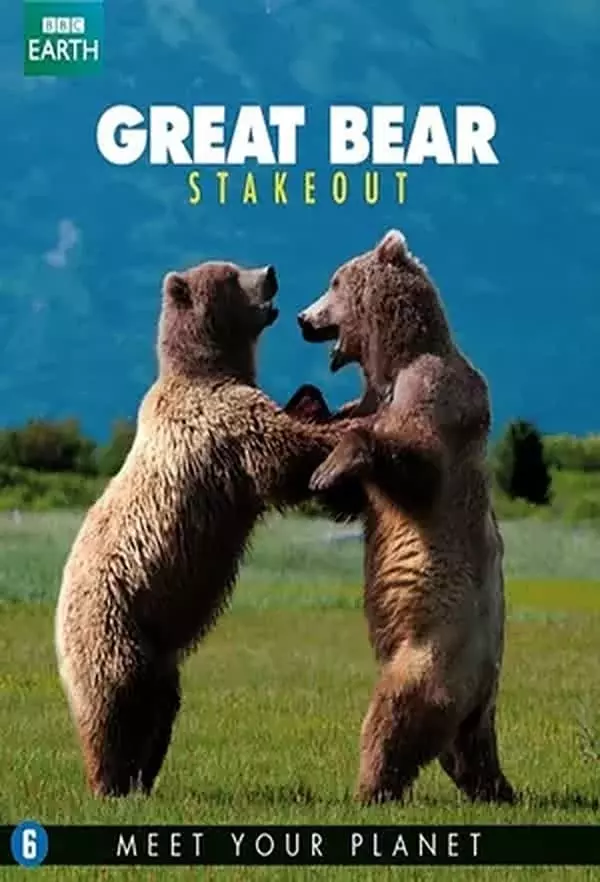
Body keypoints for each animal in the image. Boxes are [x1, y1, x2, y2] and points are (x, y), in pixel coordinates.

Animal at [55, 259, 368, 798]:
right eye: (228, 274)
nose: (271, 270)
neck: (210, 368)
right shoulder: (221, 424)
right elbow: (283, 453)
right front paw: (345, 431)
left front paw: (316, 402)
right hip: (111, 625)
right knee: (116, 703)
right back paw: (111, 780)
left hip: (157, 650)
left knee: (160, 705)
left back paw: (142, 776)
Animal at [289, 230, 515, 805]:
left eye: (334, 281)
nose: (303, 318)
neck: (391, 363)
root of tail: (486, 696)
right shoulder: (371, 399)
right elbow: (354, 494)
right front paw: (308, 408)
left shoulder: (436, 396)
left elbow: (415, 462)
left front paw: (331, 464)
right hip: (463, 703)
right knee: (460, 753)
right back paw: (493, 787)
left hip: (436, 653)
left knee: (396, 714)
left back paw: (369, 788)